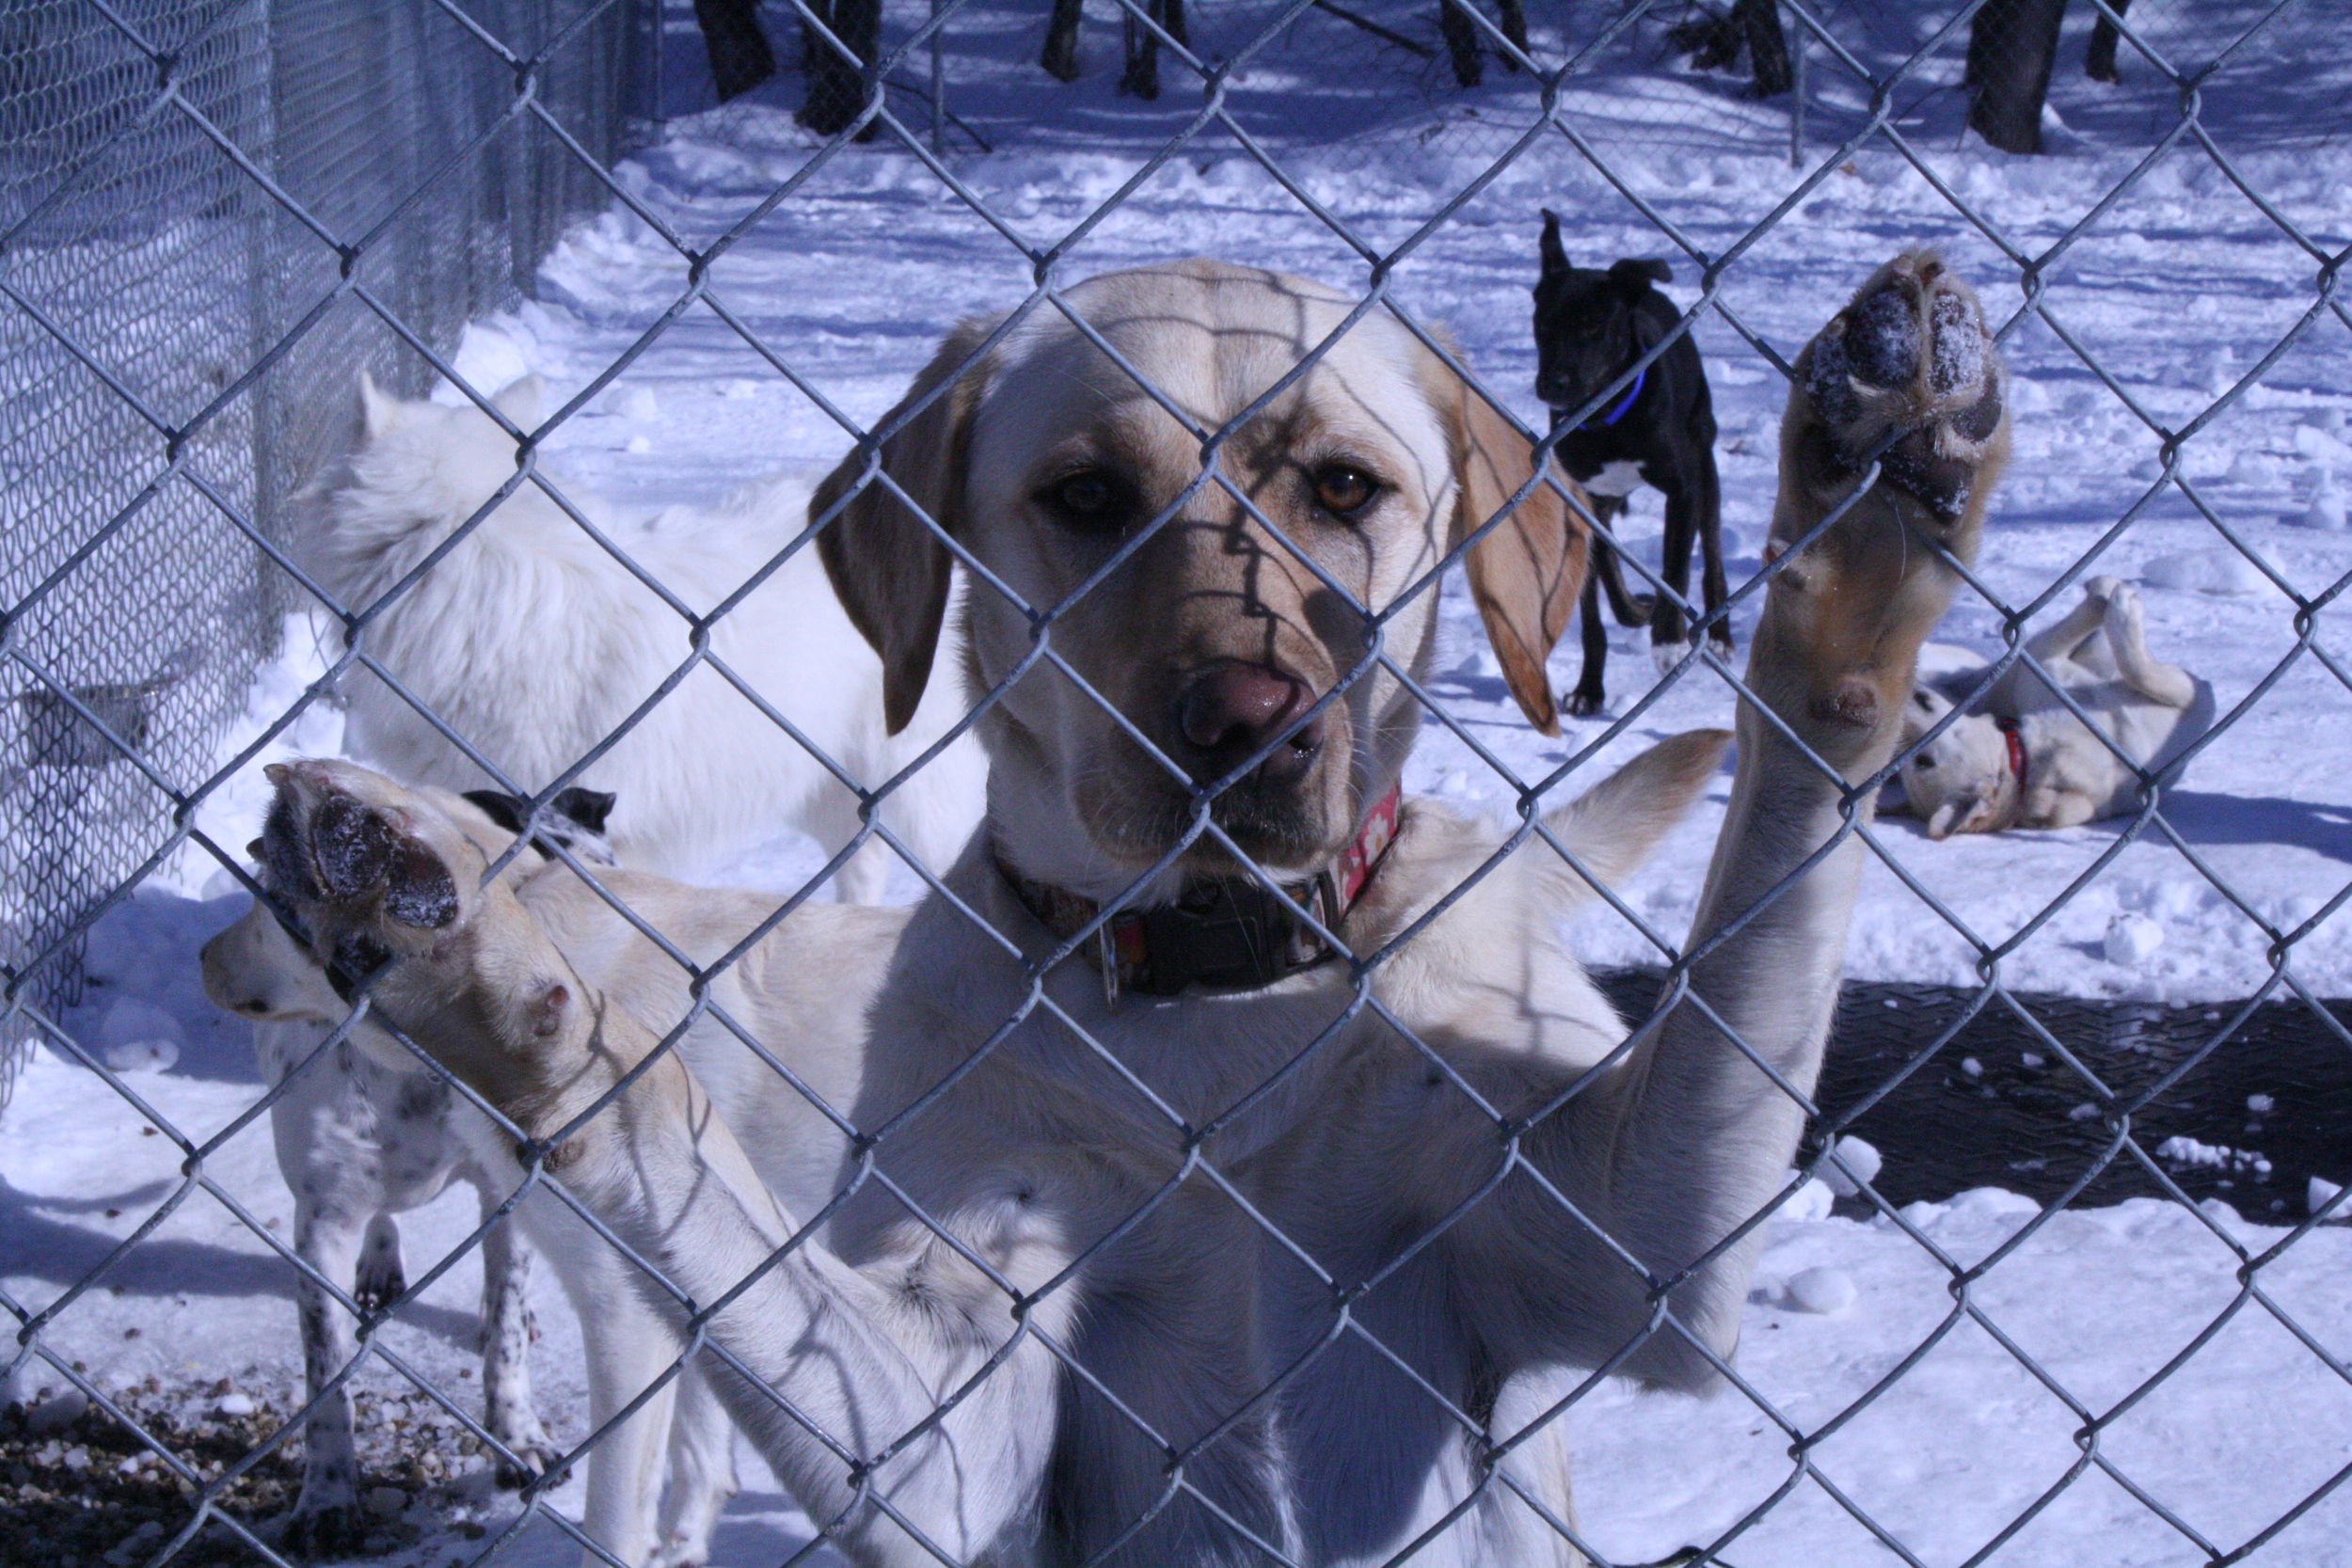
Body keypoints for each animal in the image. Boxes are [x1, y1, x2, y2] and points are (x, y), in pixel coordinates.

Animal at [1524, 208, 1731, 719]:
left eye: (1594, 329)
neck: (1607, 419)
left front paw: (1669, 641)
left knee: (1713, 553)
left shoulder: (1683, 488)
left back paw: (1718, 636)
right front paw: (1589, 688)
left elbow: (1676, 566)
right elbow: (1600, 606)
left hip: (1706, 459)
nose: (1553, 383)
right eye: (1543, 326)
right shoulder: (1585, 499)